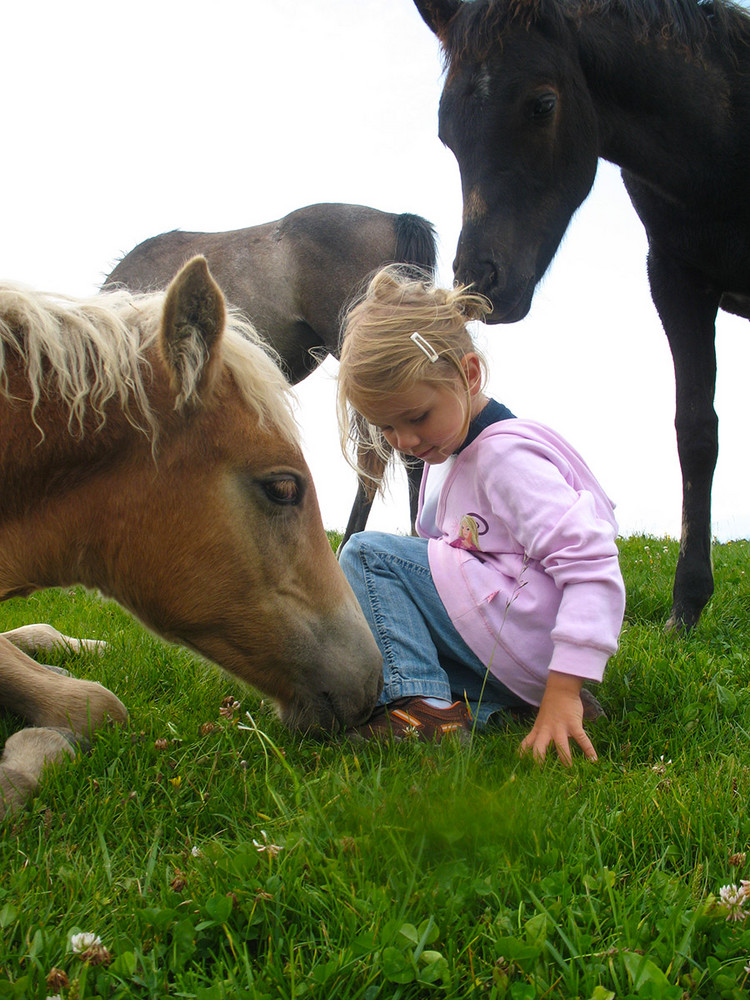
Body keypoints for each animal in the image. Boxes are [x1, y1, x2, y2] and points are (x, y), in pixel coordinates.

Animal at [414, 0, 750, 624]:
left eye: (542, 104)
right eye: (447, 131)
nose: (481, 282)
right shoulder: (675, 280)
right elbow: (696, 432)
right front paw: (687, 604)